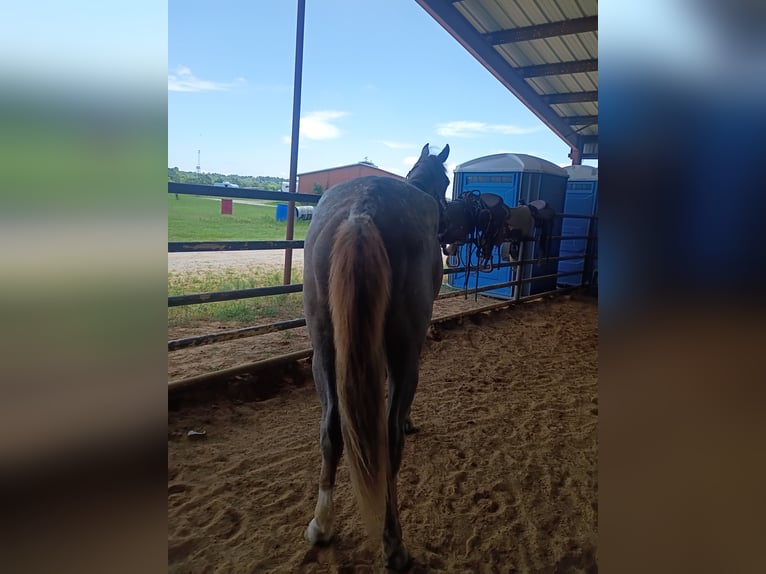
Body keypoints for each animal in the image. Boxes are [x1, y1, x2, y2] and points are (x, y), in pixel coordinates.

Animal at [302, 143, 450, 570]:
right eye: (446, 180)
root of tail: (361, 213)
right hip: (404, 354)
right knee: (388, 435)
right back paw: (393, 543)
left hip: (324, 351)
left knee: (331, 429)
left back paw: (321, 525)